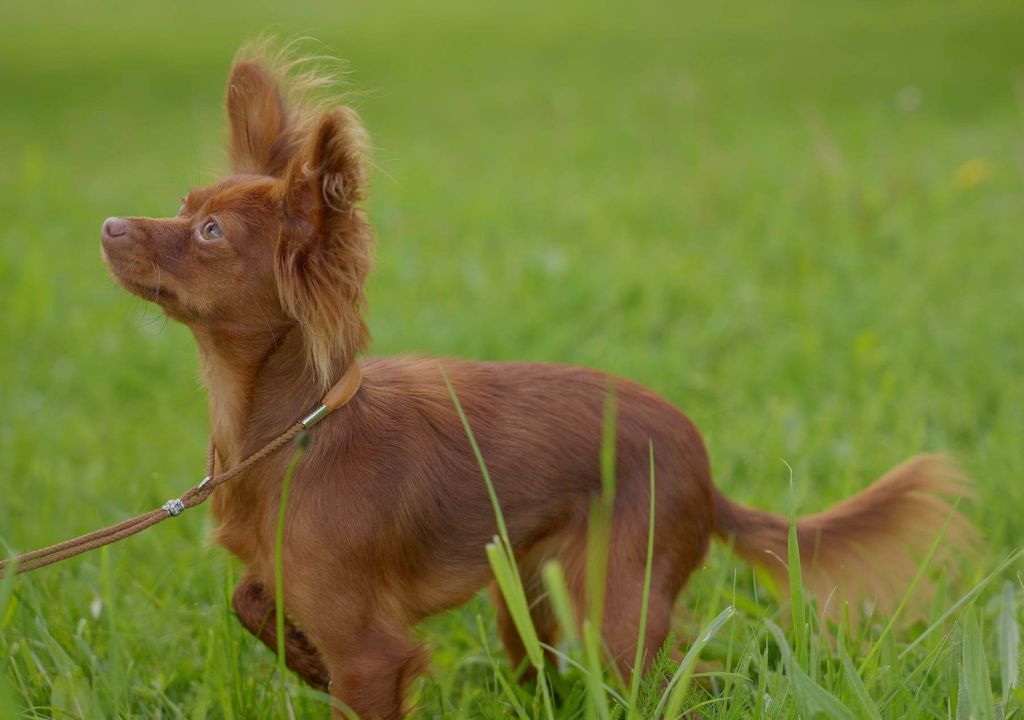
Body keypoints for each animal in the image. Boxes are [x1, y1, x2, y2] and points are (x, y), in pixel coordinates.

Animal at [99, 46, 970, 720]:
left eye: (210, 234)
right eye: (183, 205)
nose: (107, 225)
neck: (295, 431)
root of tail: (706, 469)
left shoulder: (372, 655)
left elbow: (351, 665)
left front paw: (311, 661)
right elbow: (248, 598)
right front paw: (301, 656)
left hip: (612, 607)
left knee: (684, 680)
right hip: (526, 588)